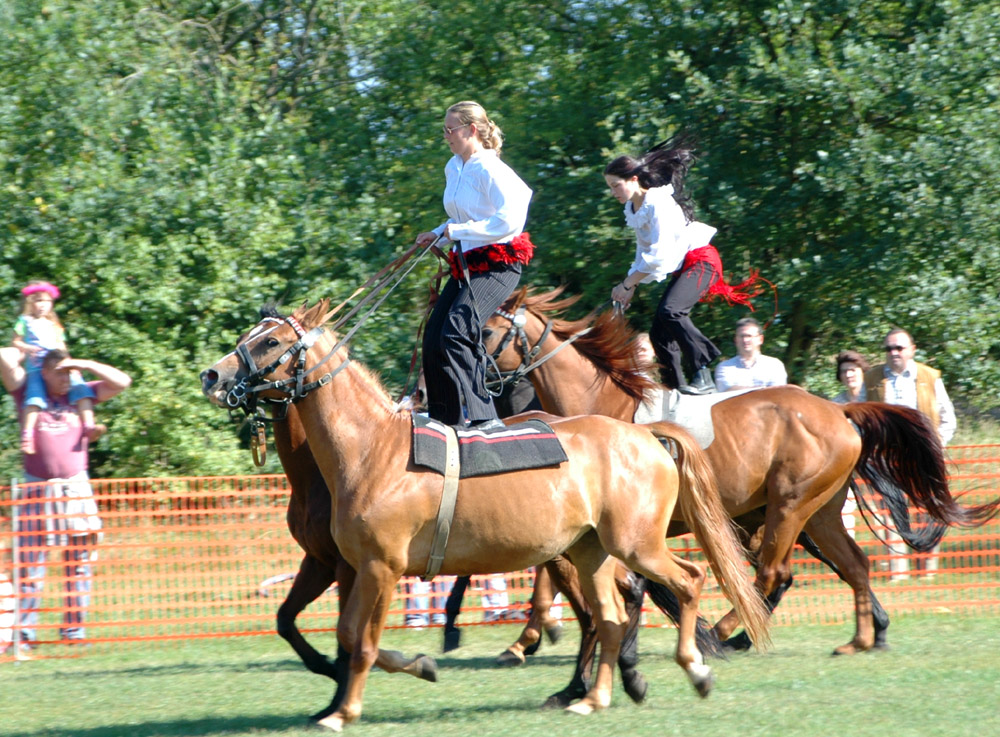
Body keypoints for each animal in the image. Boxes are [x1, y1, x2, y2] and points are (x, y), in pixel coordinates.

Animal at [199, 300, 768, 732]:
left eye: (270, 343)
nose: (213, 374)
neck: (372, 451)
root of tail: (645, 434)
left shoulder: (380, 569)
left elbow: (360, 643)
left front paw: (343, 711)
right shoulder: (353, 568)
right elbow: (347, 636)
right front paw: (419, 665)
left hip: (637, 545)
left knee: (689, 581)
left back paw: (692, 669)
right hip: (591, 553)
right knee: (608, 618)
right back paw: (592, 697)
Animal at [484, 288, 1000, 656]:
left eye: (488, 330)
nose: (480, 383)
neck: (600, 407)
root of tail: (840, 410)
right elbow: (555, 574)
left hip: (789, 506)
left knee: (773, 572)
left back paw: (727, 631)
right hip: (817, 512)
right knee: (851, 564)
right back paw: (859, 639)